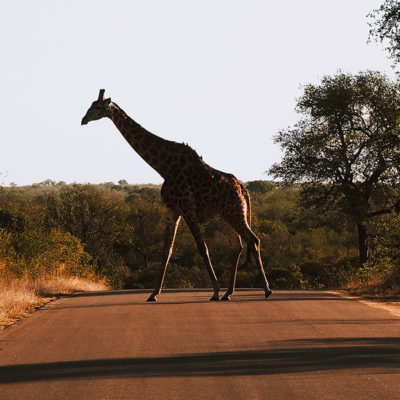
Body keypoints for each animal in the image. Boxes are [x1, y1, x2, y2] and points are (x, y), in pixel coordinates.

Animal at [81, 89, 272, 302]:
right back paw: (229, 293)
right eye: (90, 105)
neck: (163, 167)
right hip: (225, 216)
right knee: (237, 246)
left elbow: (202, 247)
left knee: (253, 240)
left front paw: (214, 290)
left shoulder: (187, 207)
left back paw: (265, 290)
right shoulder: (172, 208)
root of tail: (244, 190)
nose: (83, 120)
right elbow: (167, 250)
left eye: (98, 107)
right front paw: (153, 293)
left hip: (234, 212)